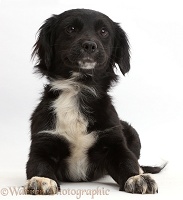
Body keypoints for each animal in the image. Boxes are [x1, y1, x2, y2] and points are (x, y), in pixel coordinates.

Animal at [24, 8, 164, 195]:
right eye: (71, 29)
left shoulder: (114, 143)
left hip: (132, 132)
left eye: (103, 32)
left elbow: (127, 161)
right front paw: (41, 180)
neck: (79, 89)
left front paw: (137, 178)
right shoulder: (43, 142)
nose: (90, 45)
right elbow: (39, 164)